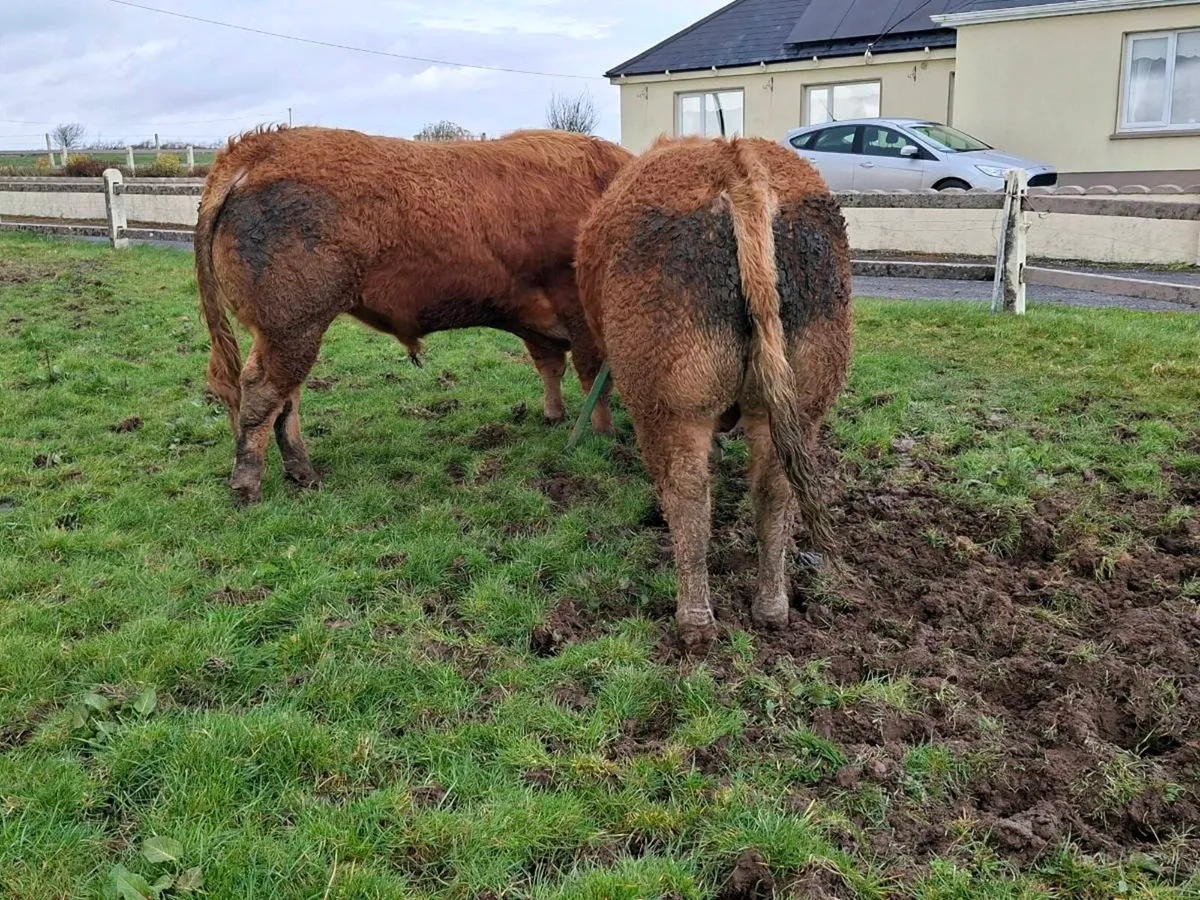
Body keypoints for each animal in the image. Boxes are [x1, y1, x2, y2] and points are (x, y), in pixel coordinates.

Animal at [196, 125, 632, 503]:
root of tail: (258, 147)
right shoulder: (579, 311)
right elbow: (594, 378)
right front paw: (605, 435)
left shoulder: (539, 320)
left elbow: (551, 367)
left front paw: (554, 416)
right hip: (294, 326)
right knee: (263, 390)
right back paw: (249, 484)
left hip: (285, 332)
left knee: (286, 396)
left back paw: (303, 473)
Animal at [575, 136, 853, 654]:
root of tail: (738, 165)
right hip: (802, 400)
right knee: (775, 491)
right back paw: (771, 607)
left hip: (671, 408)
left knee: (687, 496)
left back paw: (695, 622)